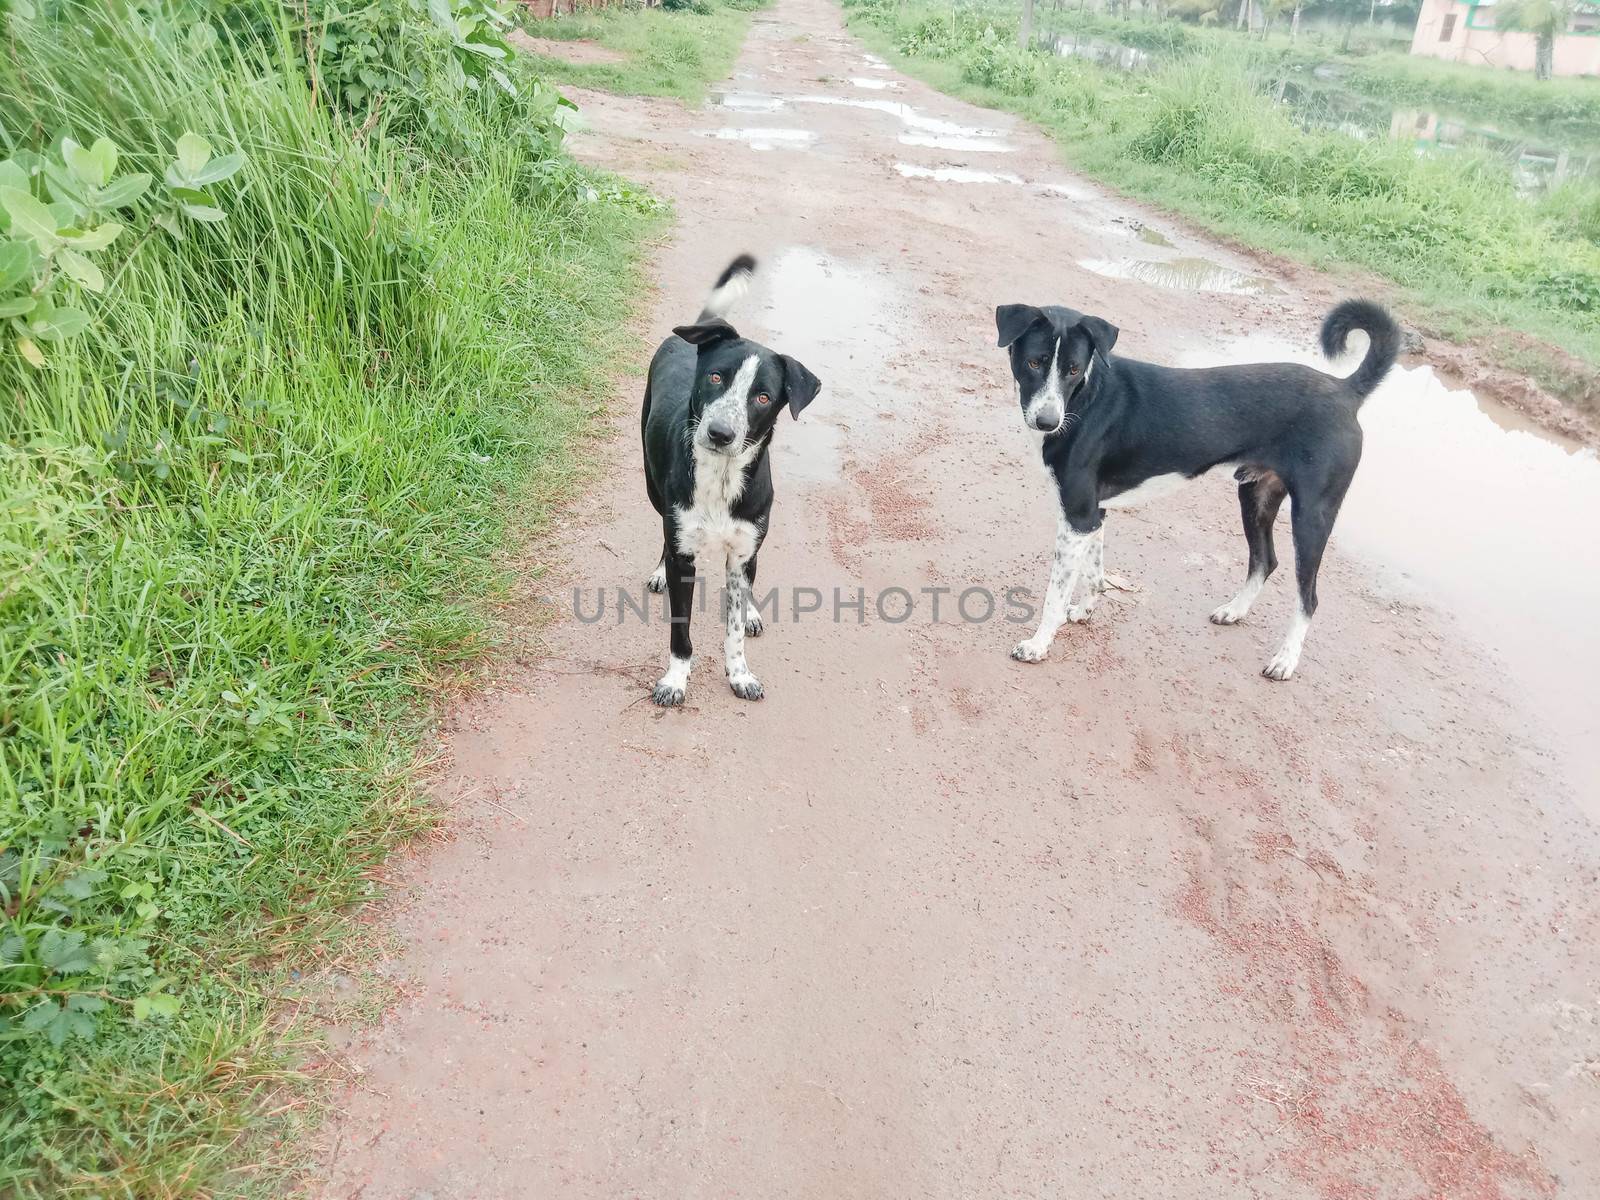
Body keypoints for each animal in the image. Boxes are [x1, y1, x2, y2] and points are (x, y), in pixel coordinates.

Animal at [636, 254, 819, 704]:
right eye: (716, 377)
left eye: (764, 397)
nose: (720, 433)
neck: (720, 480)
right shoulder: (684, 554)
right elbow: (680, 634)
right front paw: (675, 680)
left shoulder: (742, 550)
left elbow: (733, 626)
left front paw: (739, 673)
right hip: (653, 487)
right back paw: (659, 571)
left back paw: (751, 608)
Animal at [998, 297, 1401, 681]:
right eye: (1034, 362)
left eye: (1073, 369)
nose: (1047, 421)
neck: (1085, 399)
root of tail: (1346, 389)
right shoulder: (1092, 515)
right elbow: (1095, 573)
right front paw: (1083, 611)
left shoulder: (1078, 518)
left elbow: (1055, 593)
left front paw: (1038, 645)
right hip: (1256, 497)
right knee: (1265, 560)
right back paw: (1235, 610)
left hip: (1312, 517)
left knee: (1309, 597)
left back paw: (1285, 660)